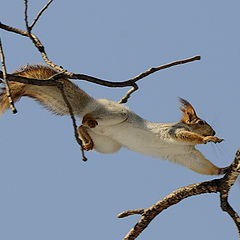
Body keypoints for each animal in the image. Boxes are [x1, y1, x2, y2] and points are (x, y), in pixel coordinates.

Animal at [0, 64, 227, 175]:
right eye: (201, 123)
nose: (215, 132)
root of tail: (91, 103)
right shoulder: (175, 132)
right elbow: (185, 135)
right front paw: (208, 140)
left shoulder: (187, 155)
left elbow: (203, 167)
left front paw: (221, 170)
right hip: (115, 114)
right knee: (85, 119)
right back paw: (88, 122)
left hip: (108, 144)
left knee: (84, 128)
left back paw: (86, 141)